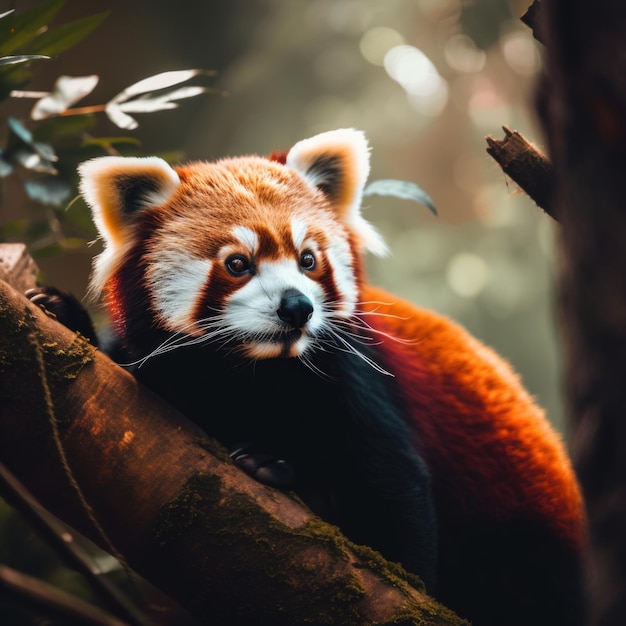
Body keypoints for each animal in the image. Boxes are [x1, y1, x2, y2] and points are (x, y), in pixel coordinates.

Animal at [29, 128, 584, 624]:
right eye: (238, 263)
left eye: (309, 259)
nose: (297, 307)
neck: (254, 370)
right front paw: (59, 311)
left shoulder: (355, 377)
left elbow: (397, 489)